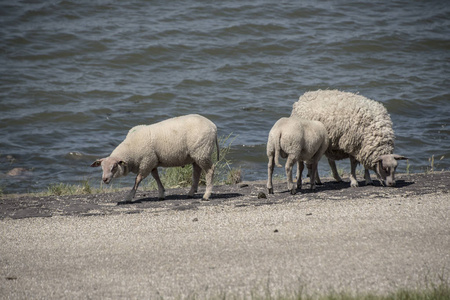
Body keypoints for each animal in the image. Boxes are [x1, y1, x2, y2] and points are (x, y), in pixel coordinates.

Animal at [89, 114, 219, 202]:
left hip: (202, 151)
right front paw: (161, 193)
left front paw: (129, 196)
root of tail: (213, 126)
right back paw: (191, 192)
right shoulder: (152, 161)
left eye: (114, 167)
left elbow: (137, 180)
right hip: (196, 154)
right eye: (102, 167)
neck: (131, 149)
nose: (104, 179)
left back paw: (206, 195)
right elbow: (156, 177)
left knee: (210, 170)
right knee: (197, 172)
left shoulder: (146, 162)